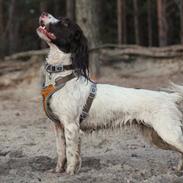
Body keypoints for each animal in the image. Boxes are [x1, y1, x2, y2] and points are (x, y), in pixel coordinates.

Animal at [37, 12, 183, 175]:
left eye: (65, 23)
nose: (44, 13)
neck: (60, 77)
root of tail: (170, 96)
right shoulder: (58, 126)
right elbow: (62, 152)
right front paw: (58, 171)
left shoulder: (71, 125)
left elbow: (70, 155)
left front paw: (70, 173)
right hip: (156, 136)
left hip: (168, 133)